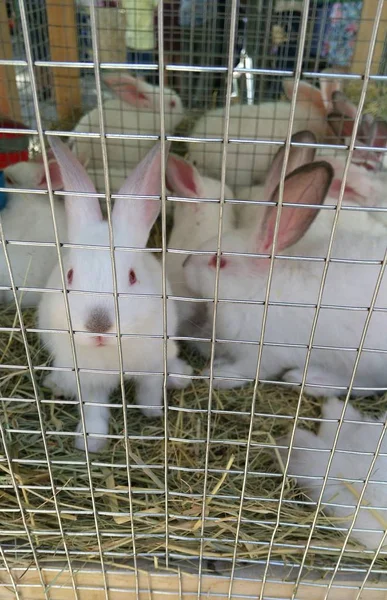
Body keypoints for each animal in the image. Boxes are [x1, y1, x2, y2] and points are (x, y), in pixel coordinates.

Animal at [38, 138, 192, 452]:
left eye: (132, 277)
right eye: (69, 275)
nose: (98, 325)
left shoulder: (153, 365)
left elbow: (149, 392)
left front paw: (153, 413)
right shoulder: (88, 380)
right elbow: (94, 409)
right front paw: (91, 442)